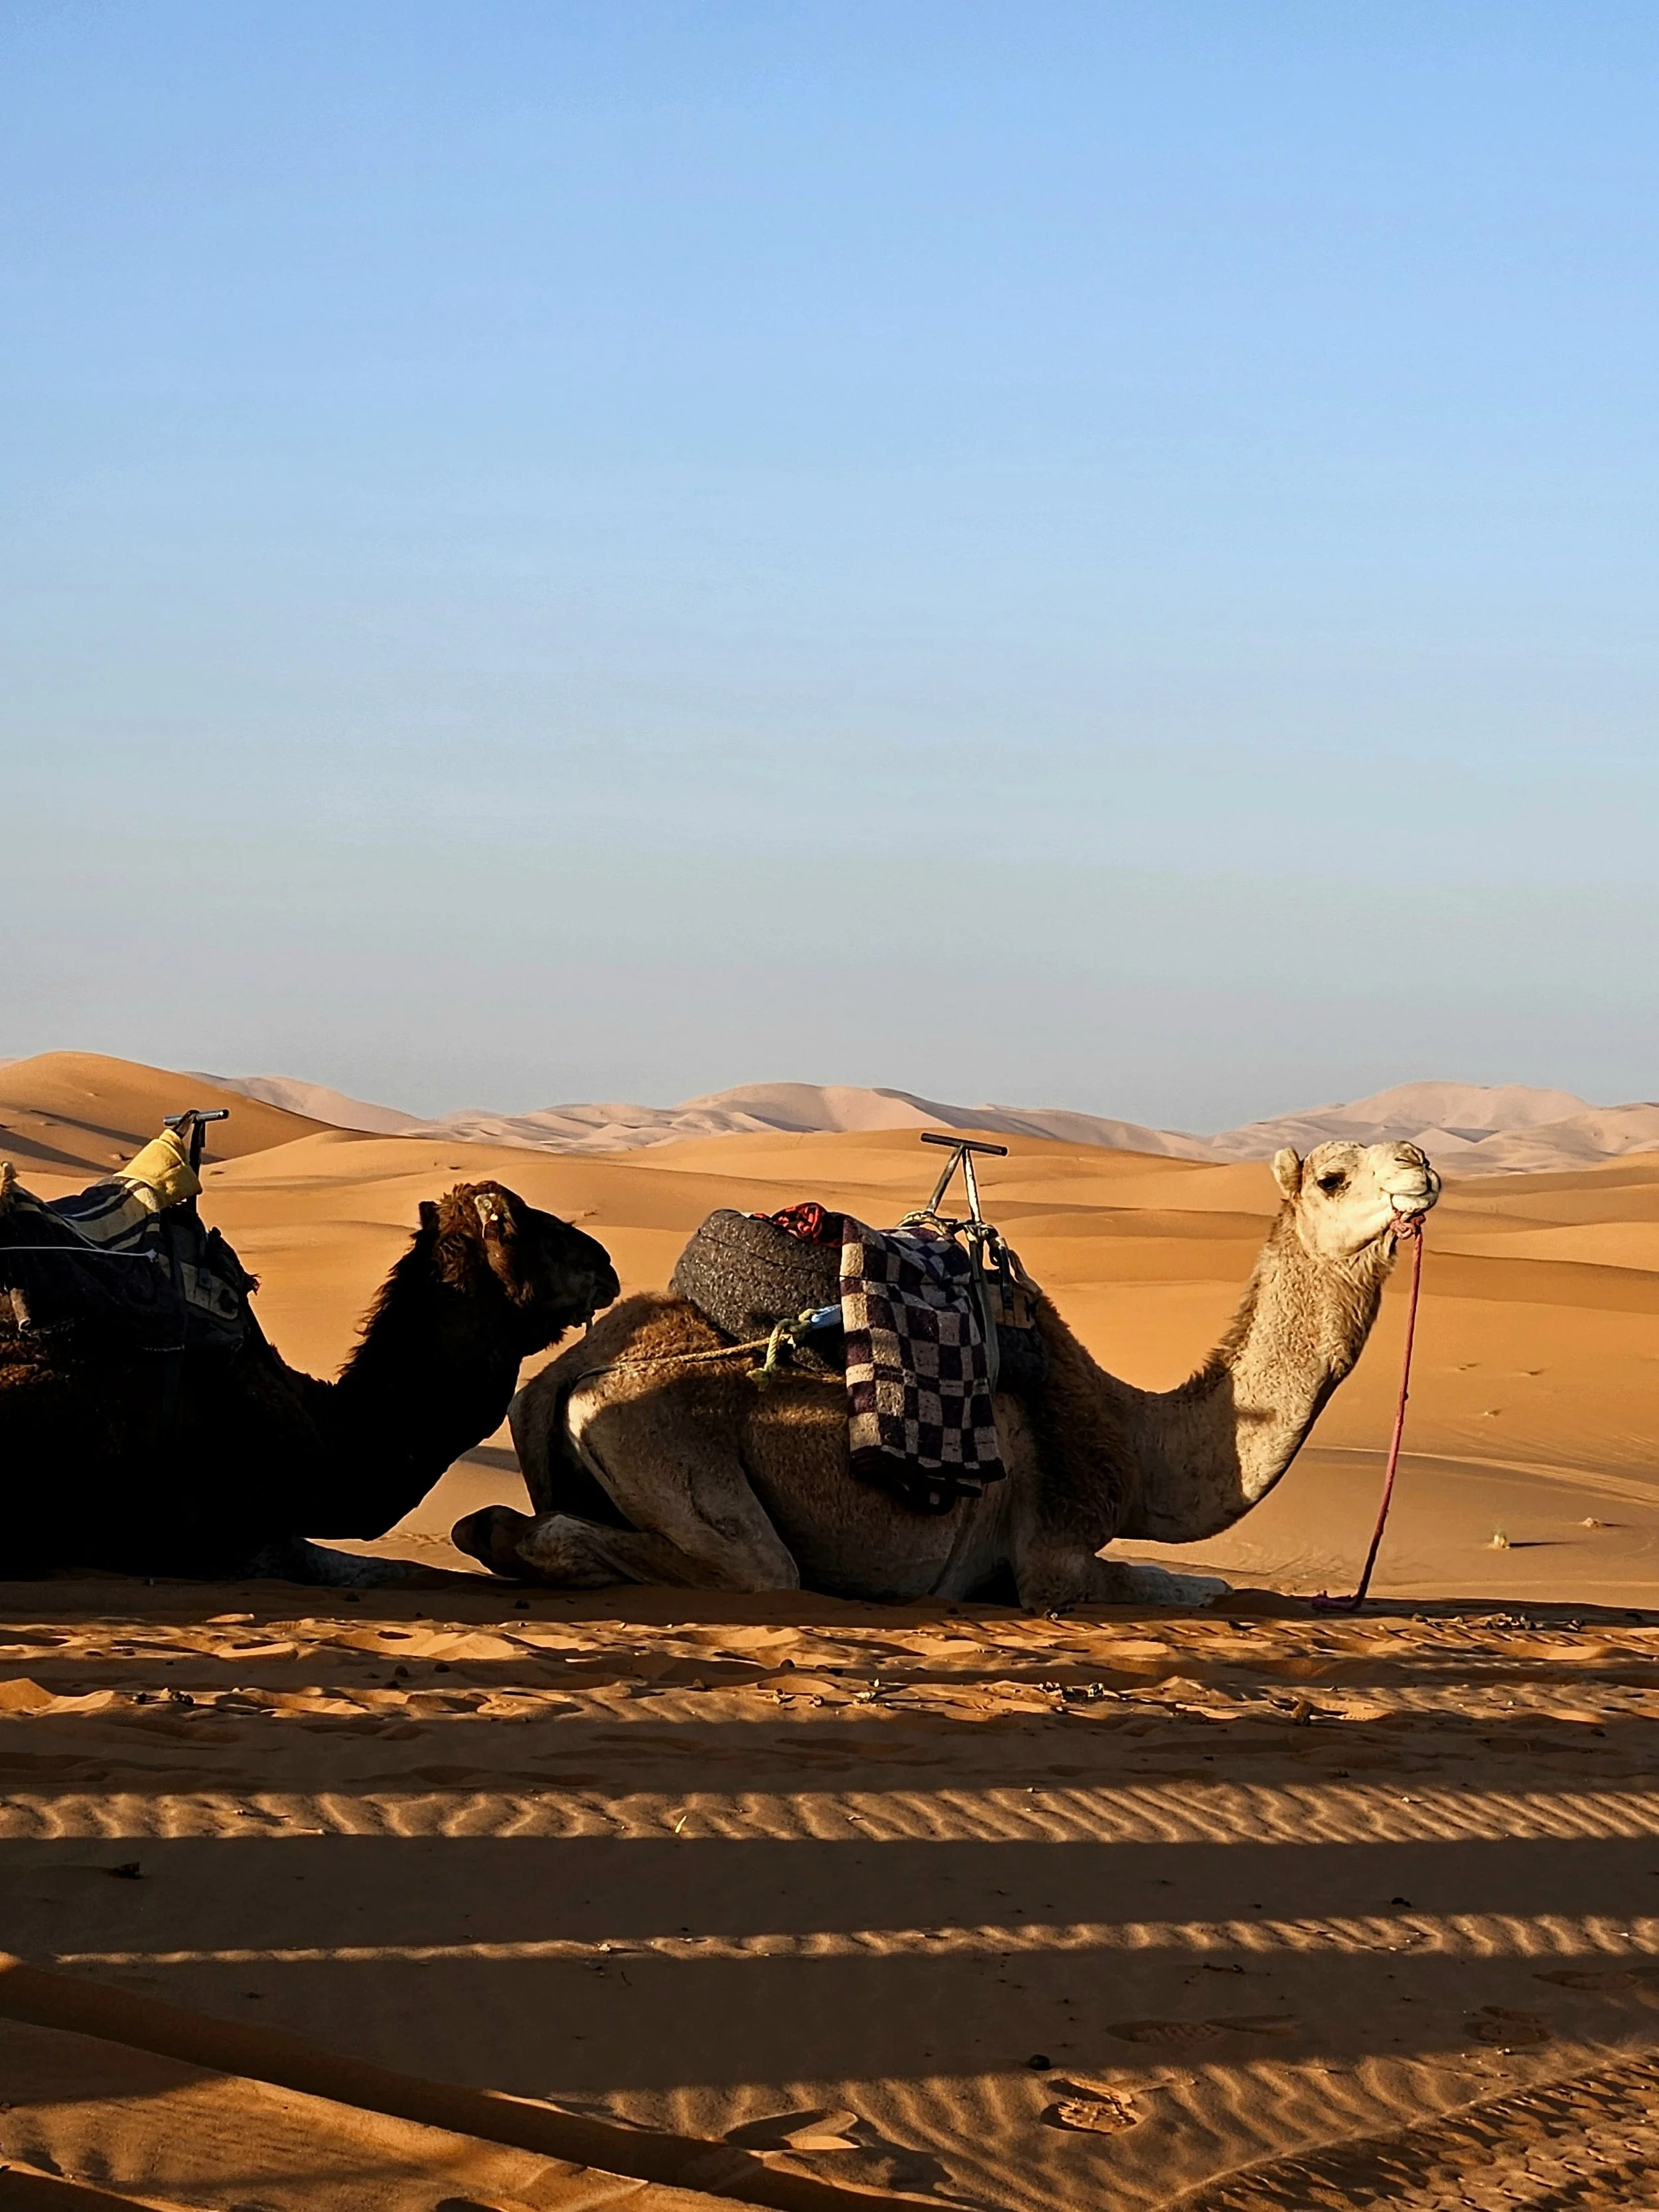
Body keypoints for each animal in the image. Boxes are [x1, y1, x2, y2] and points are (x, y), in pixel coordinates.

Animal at [455, 1140, 1439, 1609]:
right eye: (1334, 1177)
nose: (1422, 1170)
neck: (1138, 1440)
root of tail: (573, 1372)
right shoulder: (1053, 1556)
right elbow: (1200, 1587)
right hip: (660, 1439)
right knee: (751, 1567)